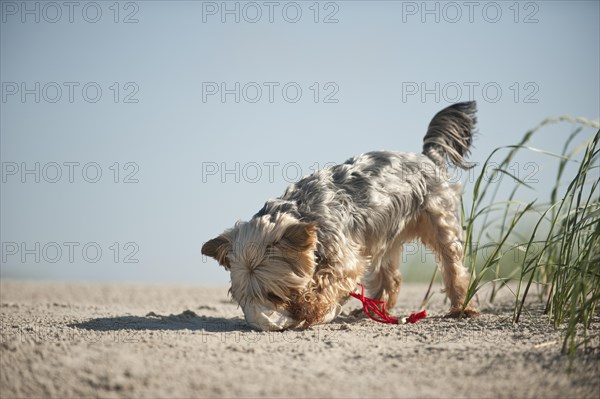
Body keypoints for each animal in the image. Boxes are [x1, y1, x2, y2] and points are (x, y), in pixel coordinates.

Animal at [204, 101, 480, 332]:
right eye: (242, 298)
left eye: (273, 294)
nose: (261, 322)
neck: (304, 213)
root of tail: (428, 157)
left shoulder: (345, 257)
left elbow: (327, 280)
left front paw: (309, 306)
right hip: (384, 233)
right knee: (389, 275)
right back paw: (373, 309)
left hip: (439, 221)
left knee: (453, 265)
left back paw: (462, 308)